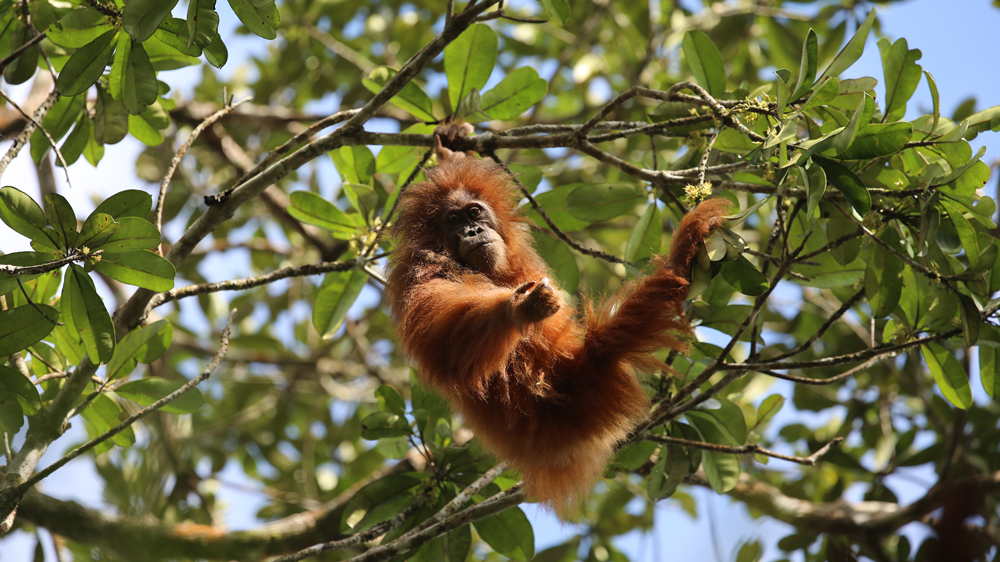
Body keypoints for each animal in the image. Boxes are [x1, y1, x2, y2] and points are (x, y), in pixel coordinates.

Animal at [384, 150, 731, 515]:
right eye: (453, 220)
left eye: (474, 212)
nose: (473, 229)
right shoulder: (422, 275)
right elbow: (447, 347)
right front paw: (519, 309)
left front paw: (448, 146)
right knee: (605, 346)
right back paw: (678, 264)